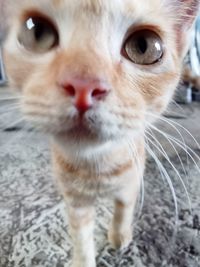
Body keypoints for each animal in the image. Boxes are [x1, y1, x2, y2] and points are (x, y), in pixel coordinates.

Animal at [0, 0, 199, 267]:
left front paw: (119, 236)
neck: (98, 168)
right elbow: (81, 237)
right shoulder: (75, 202)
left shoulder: (131, 185)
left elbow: (123, 211)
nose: (84, 85)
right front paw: (83, 259)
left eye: (144, 46)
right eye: (36, 31)